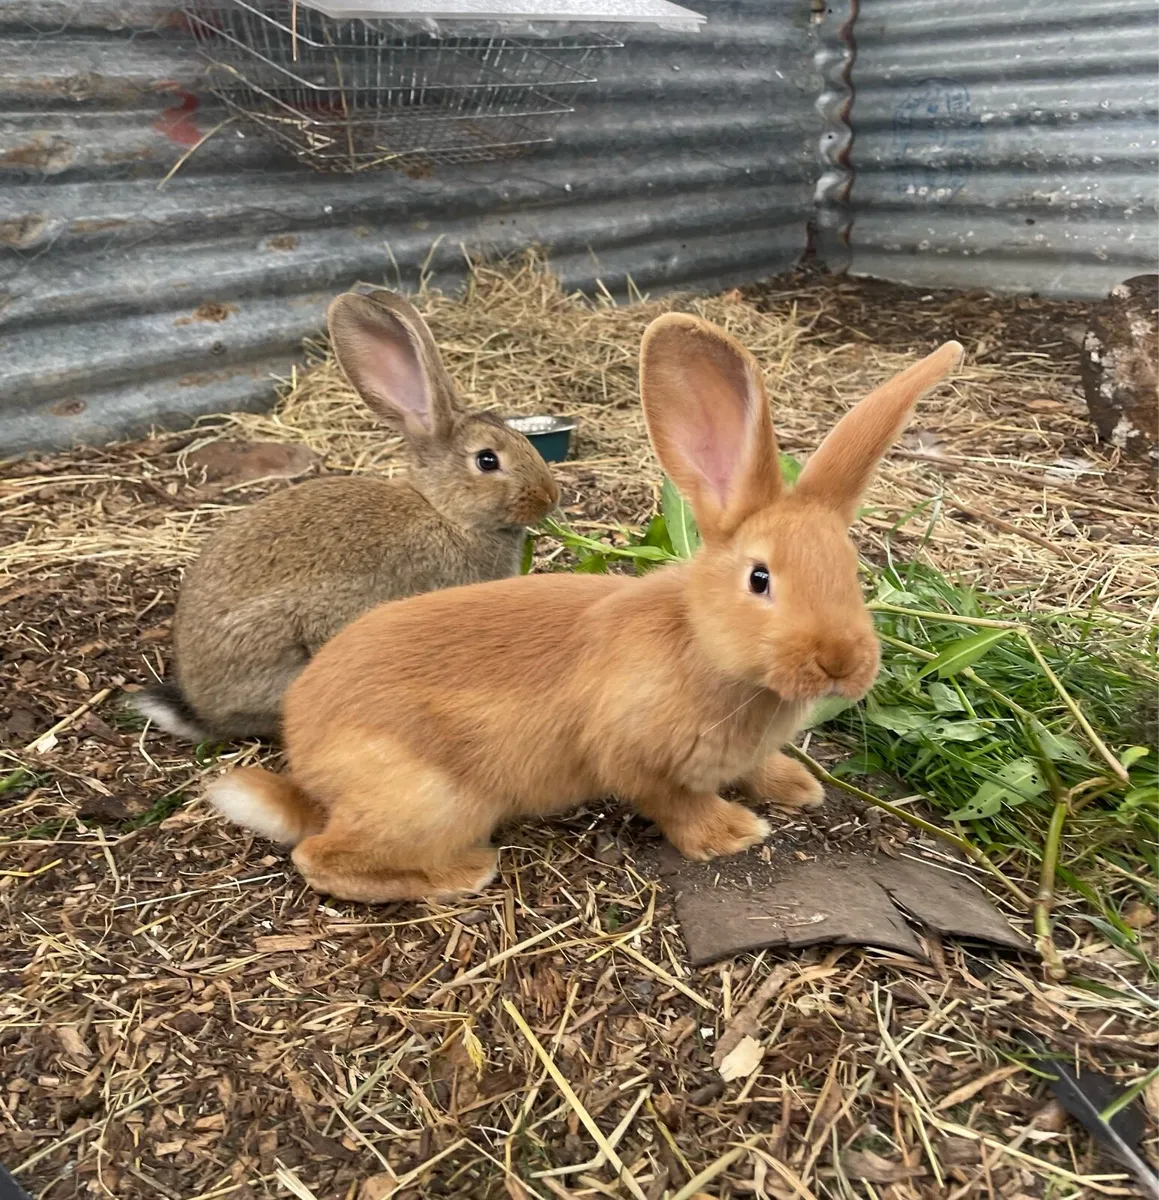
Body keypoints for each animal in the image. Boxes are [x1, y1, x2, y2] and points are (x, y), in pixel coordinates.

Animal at [205, 314, 963, 903]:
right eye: (759, 579)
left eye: (852, 572)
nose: (841, 663)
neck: (701, 644)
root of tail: (308, 770)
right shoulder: (633, 758)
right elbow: (674, 802)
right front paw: (732, 834)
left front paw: (796, 787)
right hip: (433, 802)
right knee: (321, 858)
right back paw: (460, 874)